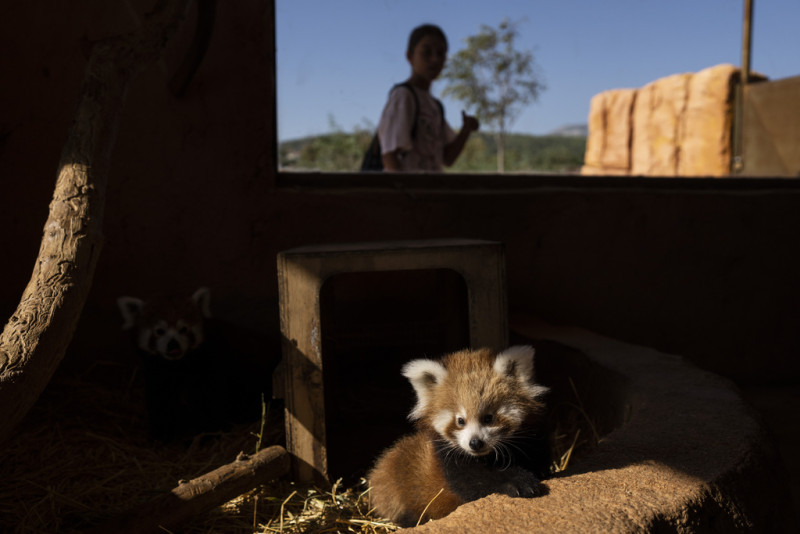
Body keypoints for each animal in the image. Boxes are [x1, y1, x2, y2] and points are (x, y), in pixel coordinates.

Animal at [368, 348, 552, 528]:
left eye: (488, 418)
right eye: (460, 421)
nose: (475, 443)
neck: (485, 456)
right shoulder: (449, 463)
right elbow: (476, 483)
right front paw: (518, 481)